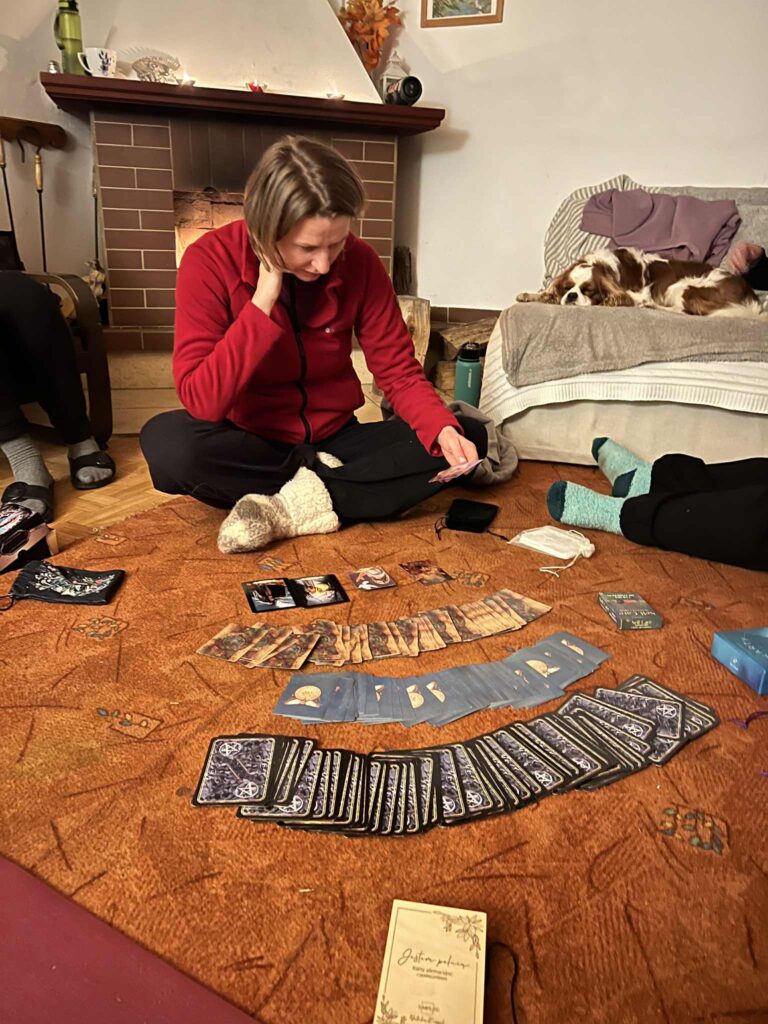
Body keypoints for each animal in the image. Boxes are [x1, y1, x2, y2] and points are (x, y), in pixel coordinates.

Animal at [517, 247, 764, 318]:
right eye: (567, 288)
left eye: (588, 291)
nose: (572, 296)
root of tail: (751, 296)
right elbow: (546, 293)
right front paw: (529, 295)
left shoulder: (636, 292)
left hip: (683, 286)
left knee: (685, 311)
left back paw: (652, 306)